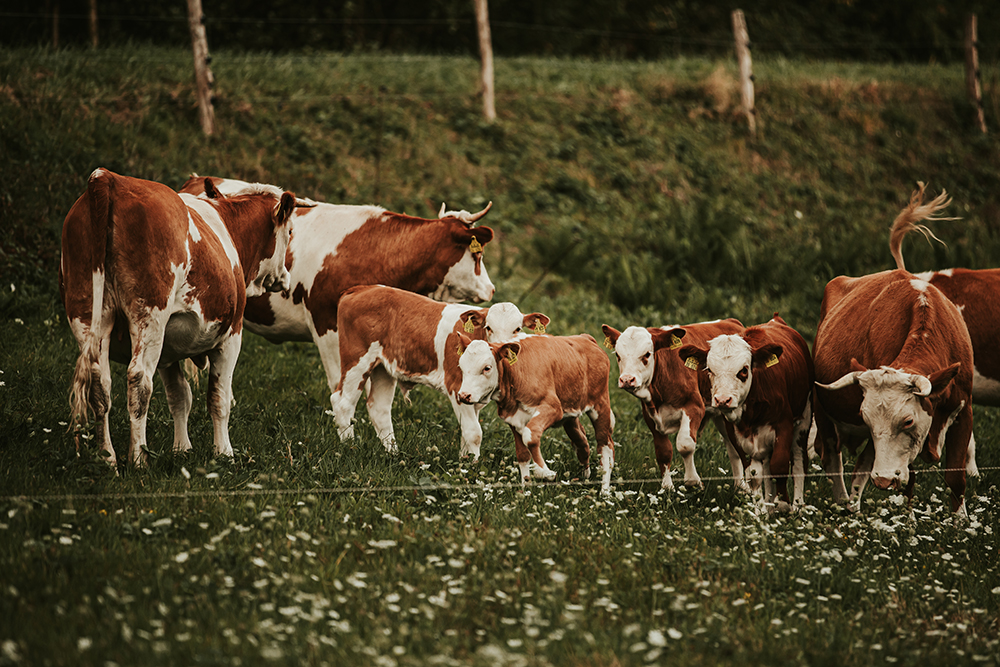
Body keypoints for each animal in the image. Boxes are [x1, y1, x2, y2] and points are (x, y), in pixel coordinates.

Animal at [60, 169, 295, 469]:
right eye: (290, 231)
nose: (285, 277)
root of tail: (108, 177)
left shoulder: (169, 351)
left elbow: (180, 397)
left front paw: (182, 449)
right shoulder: (231, 335)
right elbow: (219, 398)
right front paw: (224, 453)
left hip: (88, 313)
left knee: (100, 384)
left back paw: (108, 458)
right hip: (149, 315)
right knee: (139, 380)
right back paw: (138, 459)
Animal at [329, 285, 549, 458]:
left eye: (517, 329)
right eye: (489, 327)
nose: (502, 346)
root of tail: (362, 288)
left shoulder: (473, 394)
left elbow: (466, 434)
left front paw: (464, 463)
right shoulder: (457, 386)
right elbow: (474, 433)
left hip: (383, 368)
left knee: (379, 409)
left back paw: (393, 454)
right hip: (357, 360)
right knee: (342, 402)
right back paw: (349, 448)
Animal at [454, 333, 617, 494]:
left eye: (487, 368)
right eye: (461, 366)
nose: (463, 395)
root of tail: (585, 337)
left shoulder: (552, 408)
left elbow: (530, 436)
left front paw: (544, 472)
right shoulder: (513, 418)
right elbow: (522, 455)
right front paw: (526, 489)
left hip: (600, 405)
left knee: (605, 446)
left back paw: (605, 490)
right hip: (571, 414)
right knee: (582, 441)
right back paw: (586, 476)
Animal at [600, 319, 745, 491]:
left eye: (647, 354)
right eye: (617, 355)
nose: (627, 379)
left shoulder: (695, 407)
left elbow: (685, 444)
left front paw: (693, 481)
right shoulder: (650, 415)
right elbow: (663, 451)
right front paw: (667, 487)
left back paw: (743, 487)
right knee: (732, 447)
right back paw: (739, 485)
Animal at [678, 316, 814, 512]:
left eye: (743, 370)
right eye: (709, 370)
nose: (722, 400)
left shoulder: (784, 424)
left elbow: (780, 465)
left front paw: (783, 504)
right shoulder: (736, 433)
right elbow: (754, 475)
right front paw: (759, 511)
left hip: (804, 419)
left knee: (798, 461)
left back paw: (798, 505)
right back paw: (769, 506)